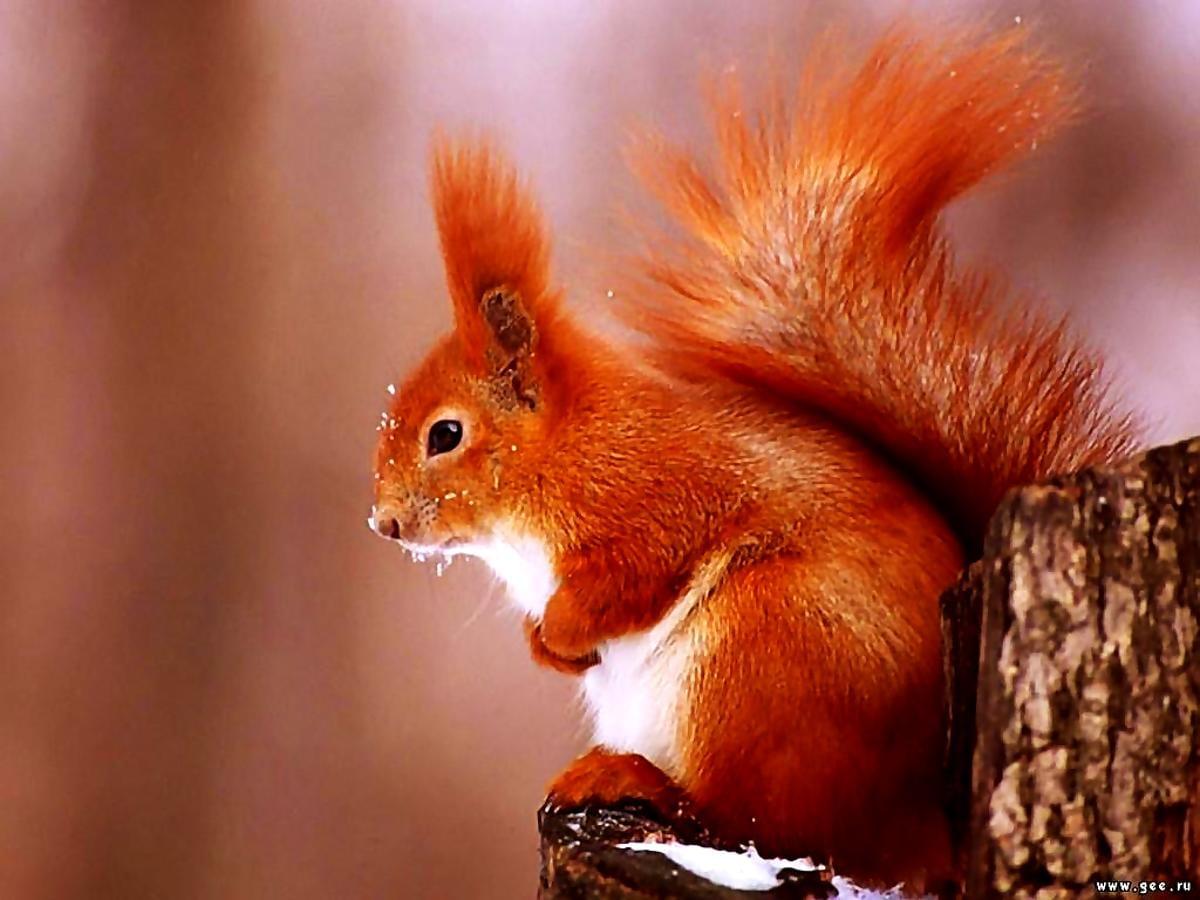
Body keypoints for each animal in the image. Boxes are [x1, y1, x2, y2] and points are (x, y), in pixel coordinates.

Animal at [369, 25, 1138, 888]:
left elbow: (629, 575)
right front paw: (548, 649)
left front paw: (563, 632)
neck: (562, 453)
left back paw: (633, 779)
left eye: (445, 434)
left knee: (764, 817)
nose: (383, 522)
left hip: (761, 651)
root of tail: (924, 818)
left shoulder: (656, 497)